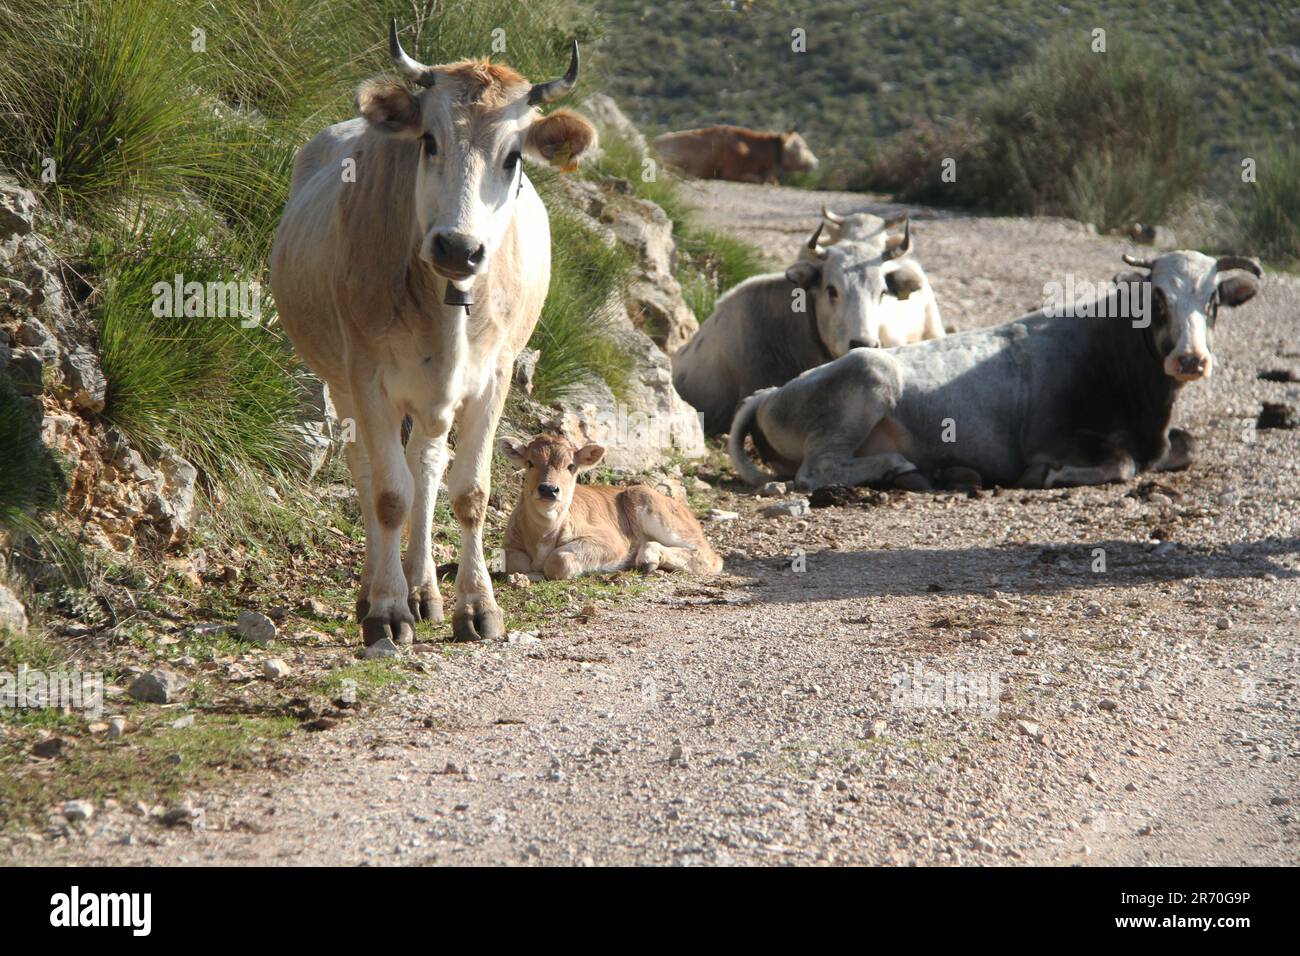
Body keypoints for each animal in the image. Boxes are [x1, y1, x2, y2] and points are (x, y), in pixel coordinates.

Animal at [276, 20, 600, 658]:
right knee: (369, 471)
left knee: (425, 464)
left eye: (514, 156)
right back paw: (379, 591)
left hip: (433, 398)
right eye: (428, 141)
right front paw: (386, 610)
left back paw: (423, 588)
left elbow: (469, 491)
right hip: (341, 381)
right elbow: (388, 495)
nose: (458, 246)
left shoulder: (493, 377)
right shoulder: (369, 376)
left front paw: (475, 607)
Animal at [496, 434, 722, 582]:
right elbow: (514, 561)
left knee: (709, 556)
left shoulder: (612, 540)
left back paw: (648, 557)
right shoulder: (510, 544)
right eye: (530, 462)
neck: (544, 534)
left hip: (653, 507)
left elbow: (558, 560)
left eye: (571, 466)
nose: (548, 489)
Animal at [728, 252, 1263, 494]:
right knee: (816, 469)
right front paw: (1048, 475)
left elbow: (1187, 445)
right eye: (1157, 299)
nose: (1190, 359)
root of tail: (769, 393)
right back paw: (898, 467)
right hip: (870, 372)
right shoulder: (1050, 437)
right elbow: (1121, 463)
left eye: (1213, 302)